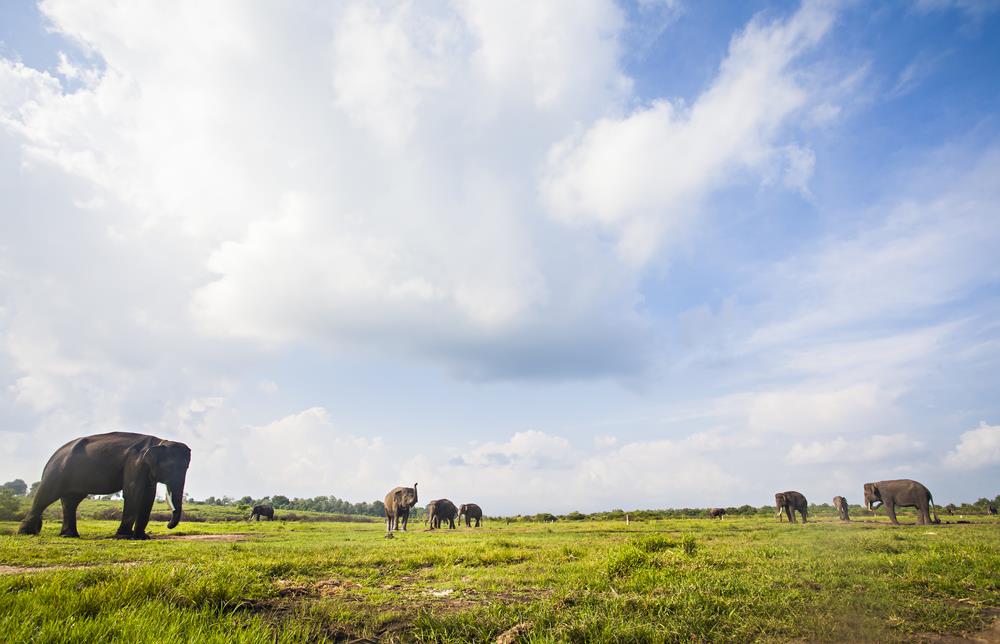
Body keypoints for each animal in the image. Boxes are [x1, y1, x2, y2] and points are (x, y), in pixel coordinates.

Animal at [17, 430, 189, 540]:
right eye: (169, 467)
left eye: (186, 467)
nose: (168, 525)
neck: (160, 441)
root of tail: (53, 455)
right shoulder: (135, 463)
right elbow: (133, 492)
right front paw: (124, 537)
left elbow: (148, 496)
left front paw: (143, 537)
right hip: (57, 471)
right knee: (46, 495)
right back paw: (26, 533)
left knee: (70, 501)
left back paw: (68, 535)